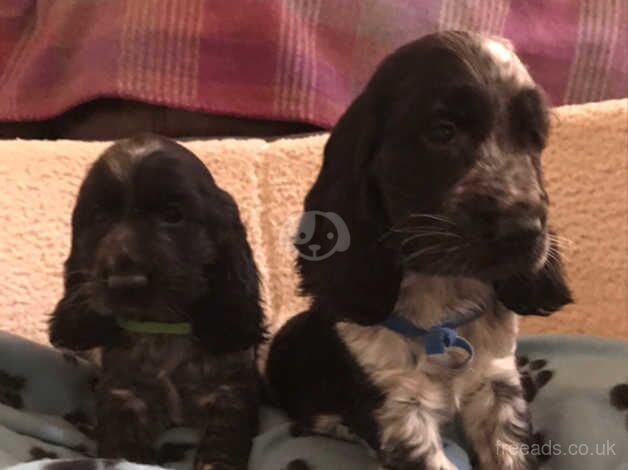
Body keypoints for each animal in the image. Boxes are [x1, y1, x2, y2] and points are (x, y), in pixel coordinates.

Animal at [49, 134, 264, 468]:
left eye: (173, 215)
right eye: (99, 217)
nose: (125, 282)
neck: (162, 328)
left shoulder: (232, 390)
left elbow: (221, 441)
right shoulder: (123, 392)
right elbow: (124, 447)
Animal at [268, 32, 572, 470]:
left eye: (534, 138)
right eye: (442, 132)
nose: (525, 231)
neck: (444, 303)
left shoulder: (496, 389)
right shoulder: (399, 410)